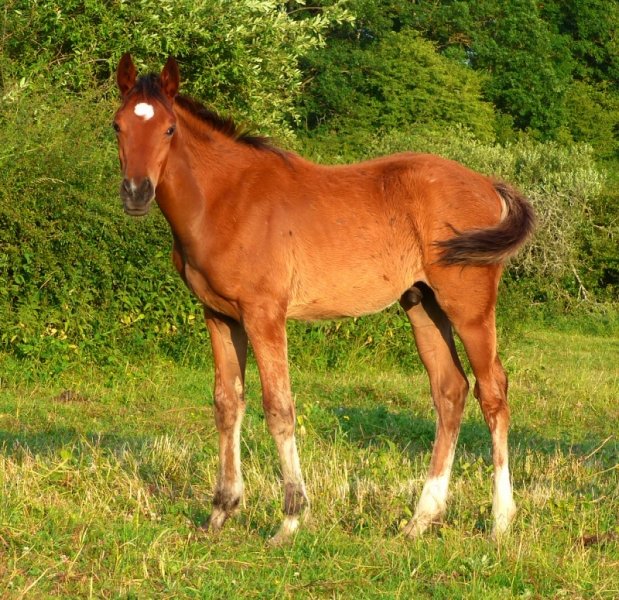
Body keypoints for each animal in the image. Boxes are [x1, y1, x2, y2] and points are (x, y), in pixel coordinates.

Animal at [113, 54, 534, 544]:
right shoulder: (219, 315)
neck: (225, 199)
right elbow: (226, 403)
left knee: (493, 392)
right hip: (422, 304)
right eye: (118, 125)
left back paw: (501, 520)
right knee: (450, 390)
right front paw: (221, 511)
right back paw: (419, 519)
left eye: (168, 129)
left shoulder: (264, 314)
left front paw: (291, 518)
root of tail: (487, 184)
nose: (136, 193)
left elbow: (278, 407)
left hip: (469, 308)